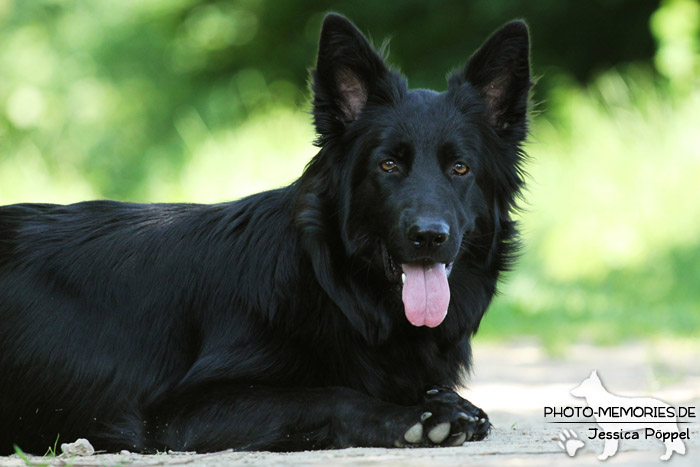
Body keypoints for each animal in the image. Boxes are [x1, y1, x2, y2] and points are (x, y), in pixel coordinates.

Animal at [0, 13, 532, 454]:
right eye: (388, 165)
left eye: (460, 168)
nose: (428, 236)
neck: (335, 288)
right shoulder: (180, 414)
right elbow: (329, 393)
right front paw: (414, 418)